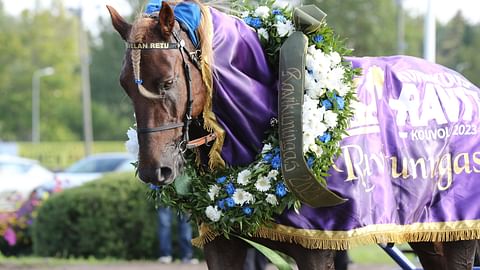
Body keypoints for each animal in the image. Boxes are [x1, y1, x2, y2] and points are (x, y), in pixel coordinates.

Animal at [107, 1, 478, 268]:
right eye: (125, 85)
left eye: (167, 82)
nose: (155, 169)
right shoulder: (223, 242)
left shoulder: (317, 244)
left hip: (457, 231)